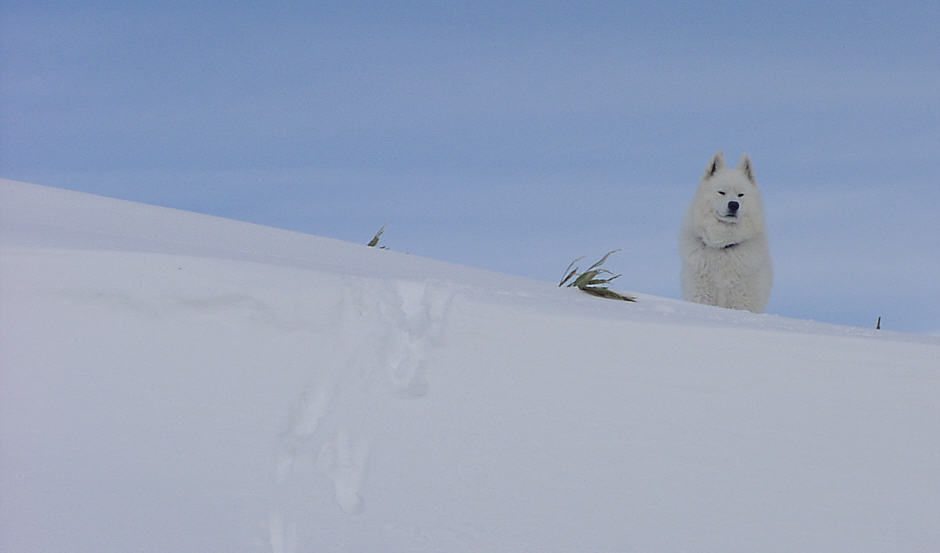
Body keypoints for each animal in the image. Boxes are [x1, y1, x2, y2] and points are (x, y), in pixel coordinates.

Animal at [684, 153, 772, 312]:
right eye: (721, 192)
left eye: (740, 195)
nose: (733, 204)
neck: (723, 246)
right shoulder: (701, 293)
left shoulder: (741, 300)